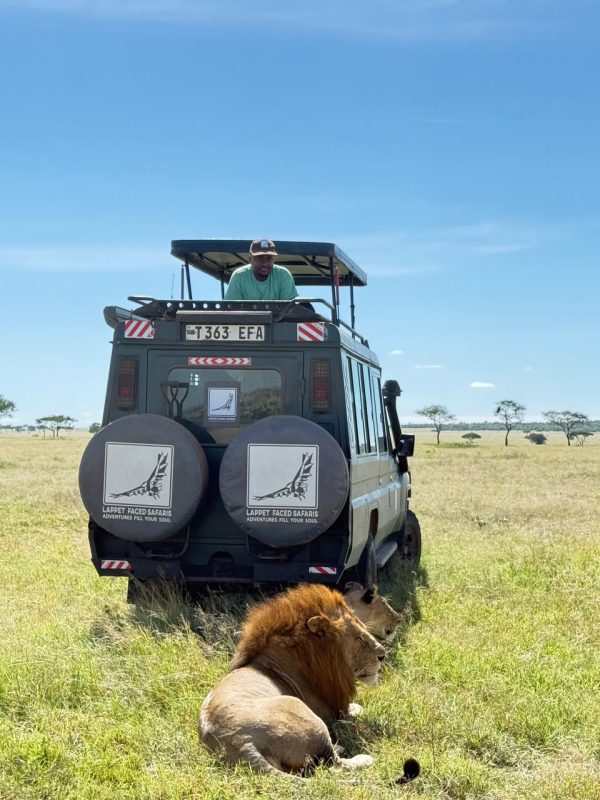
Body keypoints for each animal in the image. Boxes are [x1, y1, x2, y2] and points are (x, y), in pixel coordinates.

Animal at [199, 583, 386, 776]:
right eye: (359, 638)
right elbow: (353, 710)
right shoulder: (332, 713)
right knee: (334, 765)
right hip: (304, 712)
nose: (383, 655)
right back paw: (362, 757)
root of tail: (241, 743)